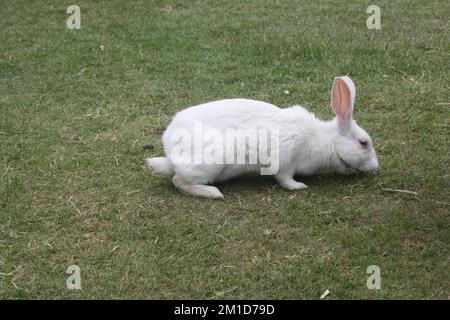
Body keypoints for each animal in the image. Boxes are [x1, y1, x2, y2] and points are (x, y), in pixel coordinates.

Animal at [146, 76, 378, 199]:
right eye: (364, 143)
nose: (376, 167)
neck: (326, 140)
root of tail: (170, 153)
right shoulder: (285, 160)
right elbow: (285, 179)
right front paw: (299, 186)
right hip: (208, 164)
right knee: (178, 180)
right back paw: (212, 192)